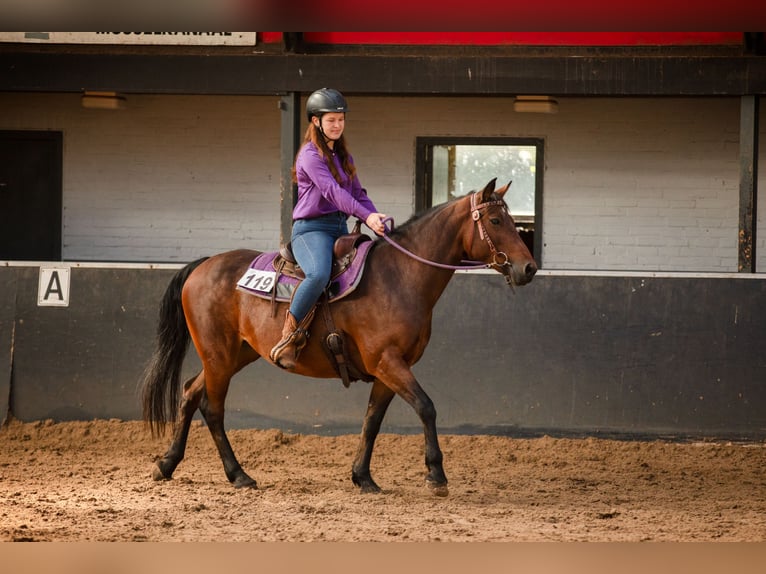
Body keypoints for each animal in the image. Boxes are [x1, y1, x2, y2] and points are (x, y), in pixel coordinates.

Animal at [140, 178, 537, 496]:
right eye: (496, 221)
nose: (529, 268)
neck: (400, 276)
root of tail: (203, 265)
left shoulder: (388, 370)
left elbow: (372, 422)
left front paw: (363, 477)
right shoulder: (388, 362)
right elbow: (426, 407)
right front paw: (436, 476)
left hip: (235, 354)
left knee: (190, 393)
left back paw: (167, 464)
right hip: (219, 355)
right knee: (212, 407)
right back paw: (238, 475)